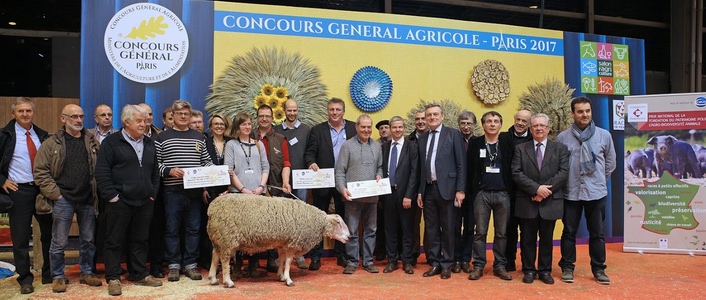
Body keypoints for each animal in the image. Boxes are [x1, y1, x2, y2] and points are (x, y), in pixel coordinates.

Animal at [206, 193, 350, 288]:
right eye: (339, 223)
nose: (349, 237)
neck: (315, 222)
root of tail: (212, 209)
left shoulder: (283, 243)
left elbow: (281, 259)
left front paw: (281, 276)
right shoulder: (292, 243)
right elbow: (289, 261)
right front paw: (289, 280)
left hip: (219, 237)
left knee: (215, 255)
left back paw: (213, 279)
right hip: (227, 237)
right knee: (224, 260)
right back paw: (228, 281)